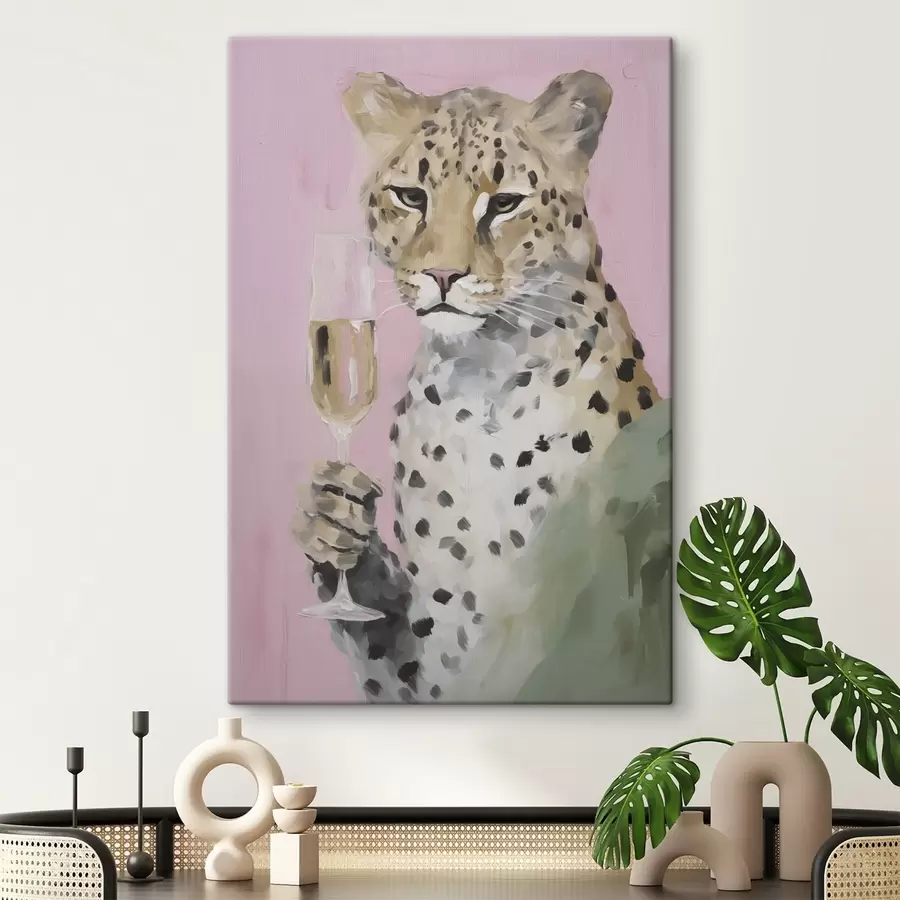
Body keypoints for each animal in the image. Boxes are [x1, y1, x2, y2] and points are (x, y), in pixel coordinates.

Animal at [292, 70, 671, 703]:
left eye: (504, 202)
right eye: (411, 197)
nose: (443, 275)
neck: (481, 381)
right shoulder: (433, 651)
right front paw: (331, 523)